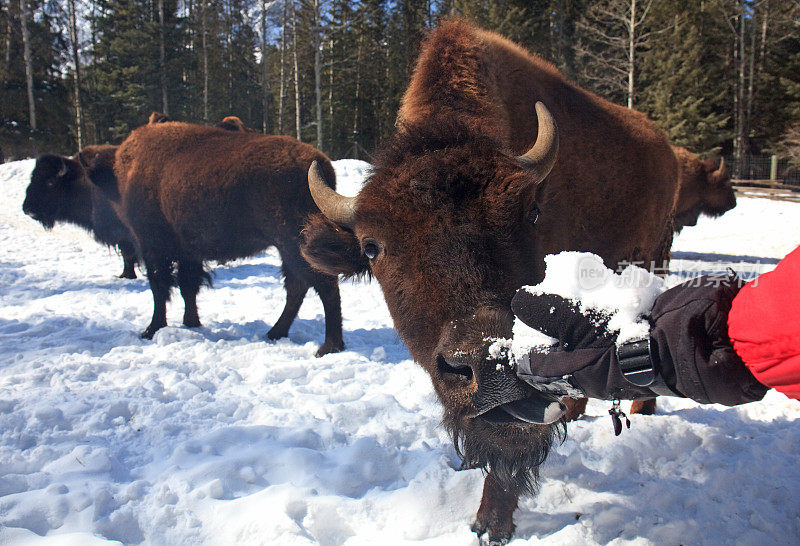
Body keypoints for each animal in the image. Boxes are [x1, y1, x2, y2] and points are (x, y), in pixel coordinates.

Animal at [89, 120, 346, 354]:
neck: (126, 169)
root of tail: (321, 165)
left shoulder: (152, 246)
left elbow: (159, 287)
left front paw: (151, 330)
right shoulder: (187, 252)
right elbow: (187, 286)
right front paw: (191, 323)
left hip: (295, 245)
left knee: (323, 287)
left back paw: (328, 347)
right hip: (288, 248)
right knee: (298, 287)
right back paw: (275, 333)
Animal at [304, 19, 680, 540]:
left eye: (532, 213)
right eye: (372, 247)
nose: (492, 365)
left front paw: (489, 524)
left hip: (653, 257)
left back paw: (642, 407)